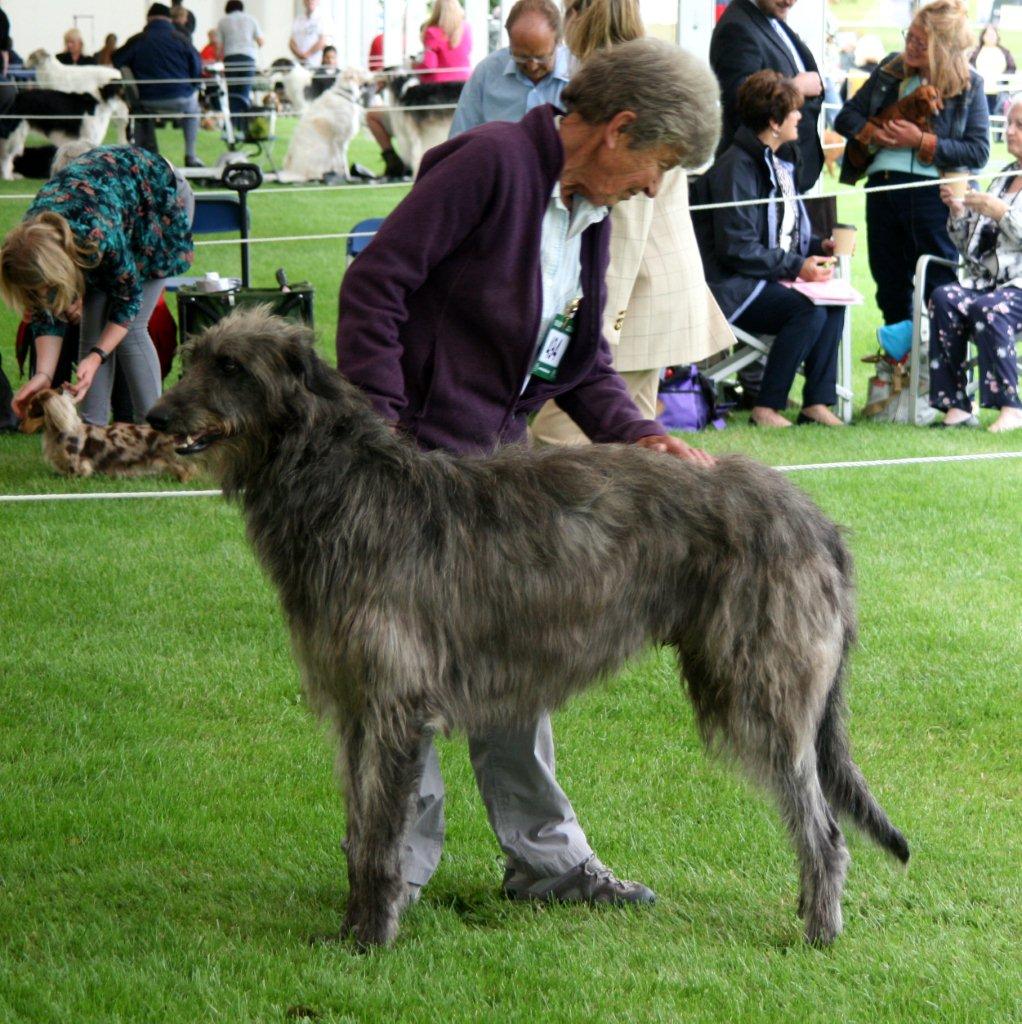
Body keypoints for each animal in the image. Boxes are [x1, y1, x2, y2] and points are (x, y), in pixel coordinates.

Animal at [0, 86, 128, 180]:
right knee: (7, 156)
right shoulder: (88, 137)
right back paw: (8, 177)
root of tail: (17, 97)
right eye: (122, 94)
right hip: (16, 134)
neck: (99, 102)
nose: (128, 109)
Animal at [148, 307, 909, 946]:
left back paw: (819, 931)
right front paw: (357, 924)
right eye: (194, 356)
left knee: (823, 826)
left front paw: (369, 936)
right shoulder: (357, 706)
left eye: (233, 367)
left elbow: (381, 833)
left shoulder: (394, 703)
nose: (155, 417)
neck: (347, 493)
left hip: (762, 685)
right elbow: (363, 827)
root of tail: (816, 522)